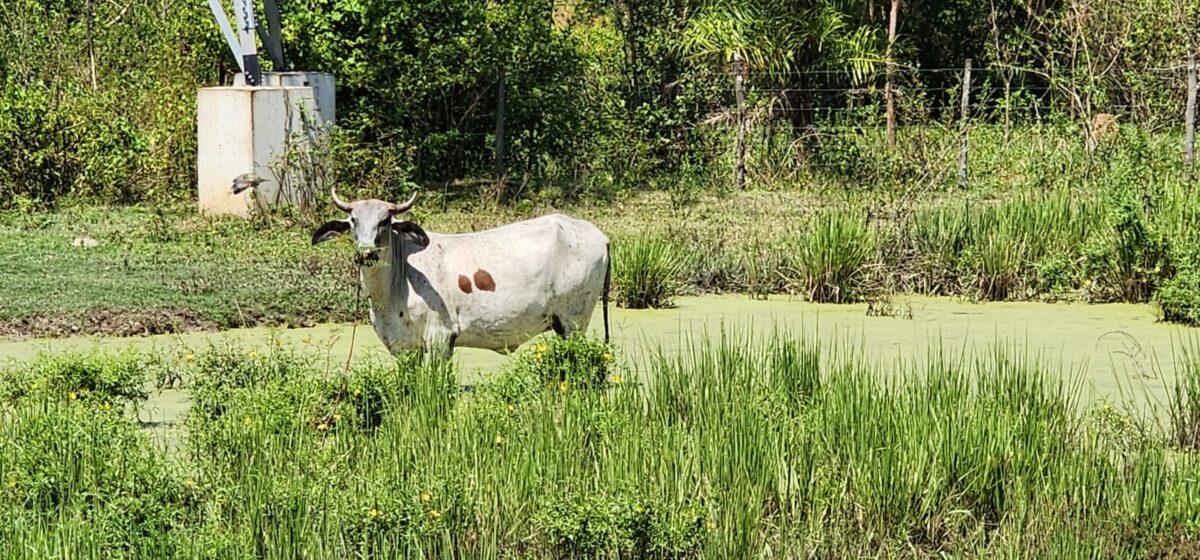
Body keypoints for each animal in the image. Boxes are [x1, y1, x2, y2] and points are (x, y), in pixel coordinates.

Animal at [312, 188, 609, 354]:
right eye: (353, 221)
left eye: (385, 221)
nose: (366, 253)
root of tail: (601, 236)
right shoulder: (403, 347)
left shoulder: (440, 338)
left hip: (574, 320)